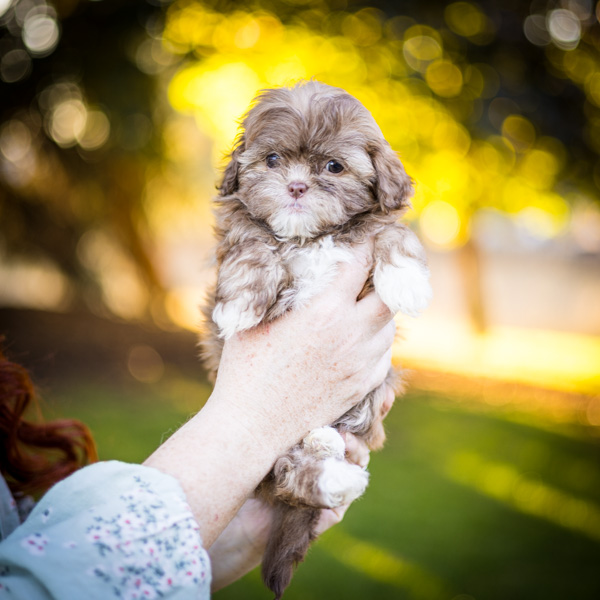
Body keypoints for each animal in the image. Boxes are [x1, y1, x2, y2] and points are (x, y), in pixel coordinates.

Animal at [202, 81, 432, 600]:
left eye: (334, 167)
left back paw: (328, 456)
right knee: (284, 474)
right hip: (266, 448)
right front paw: (241, 302)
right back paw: (328, 473)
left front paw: (407, 280)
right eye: (271, 160)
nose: (295, 187)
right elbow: (253, 244)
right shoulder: (240, 229)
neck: (308, 238)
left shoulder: (375, 231)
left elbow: (393, 233)